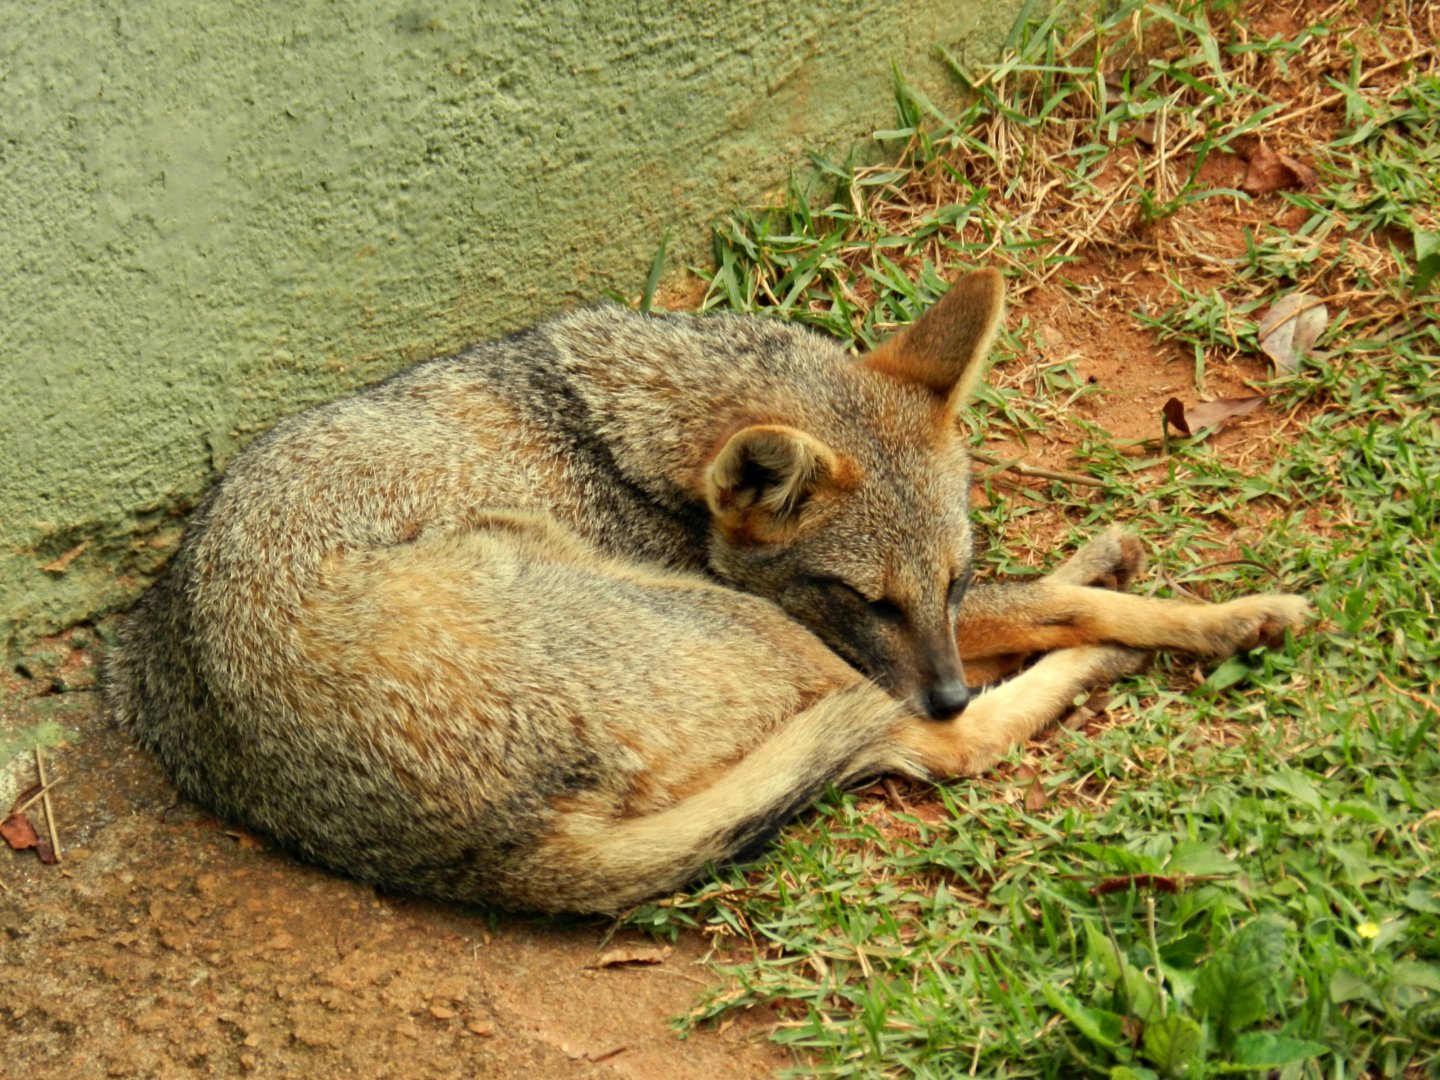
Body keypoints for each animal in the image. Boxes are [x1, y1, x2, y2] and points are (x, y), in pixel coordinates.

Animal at [105, 268, 1310, 913]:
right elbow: (1044, 613)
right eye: (865, 596)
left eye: (947, 574)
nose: (944, 689)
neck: (620, 435)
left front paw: (1107, 565)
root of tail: (475, 853)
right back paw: (1086, 672)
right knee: (941, 752)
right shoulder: (841, 633)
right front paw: (1216, 619)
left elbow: (1020, 597)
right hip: (747, 631)